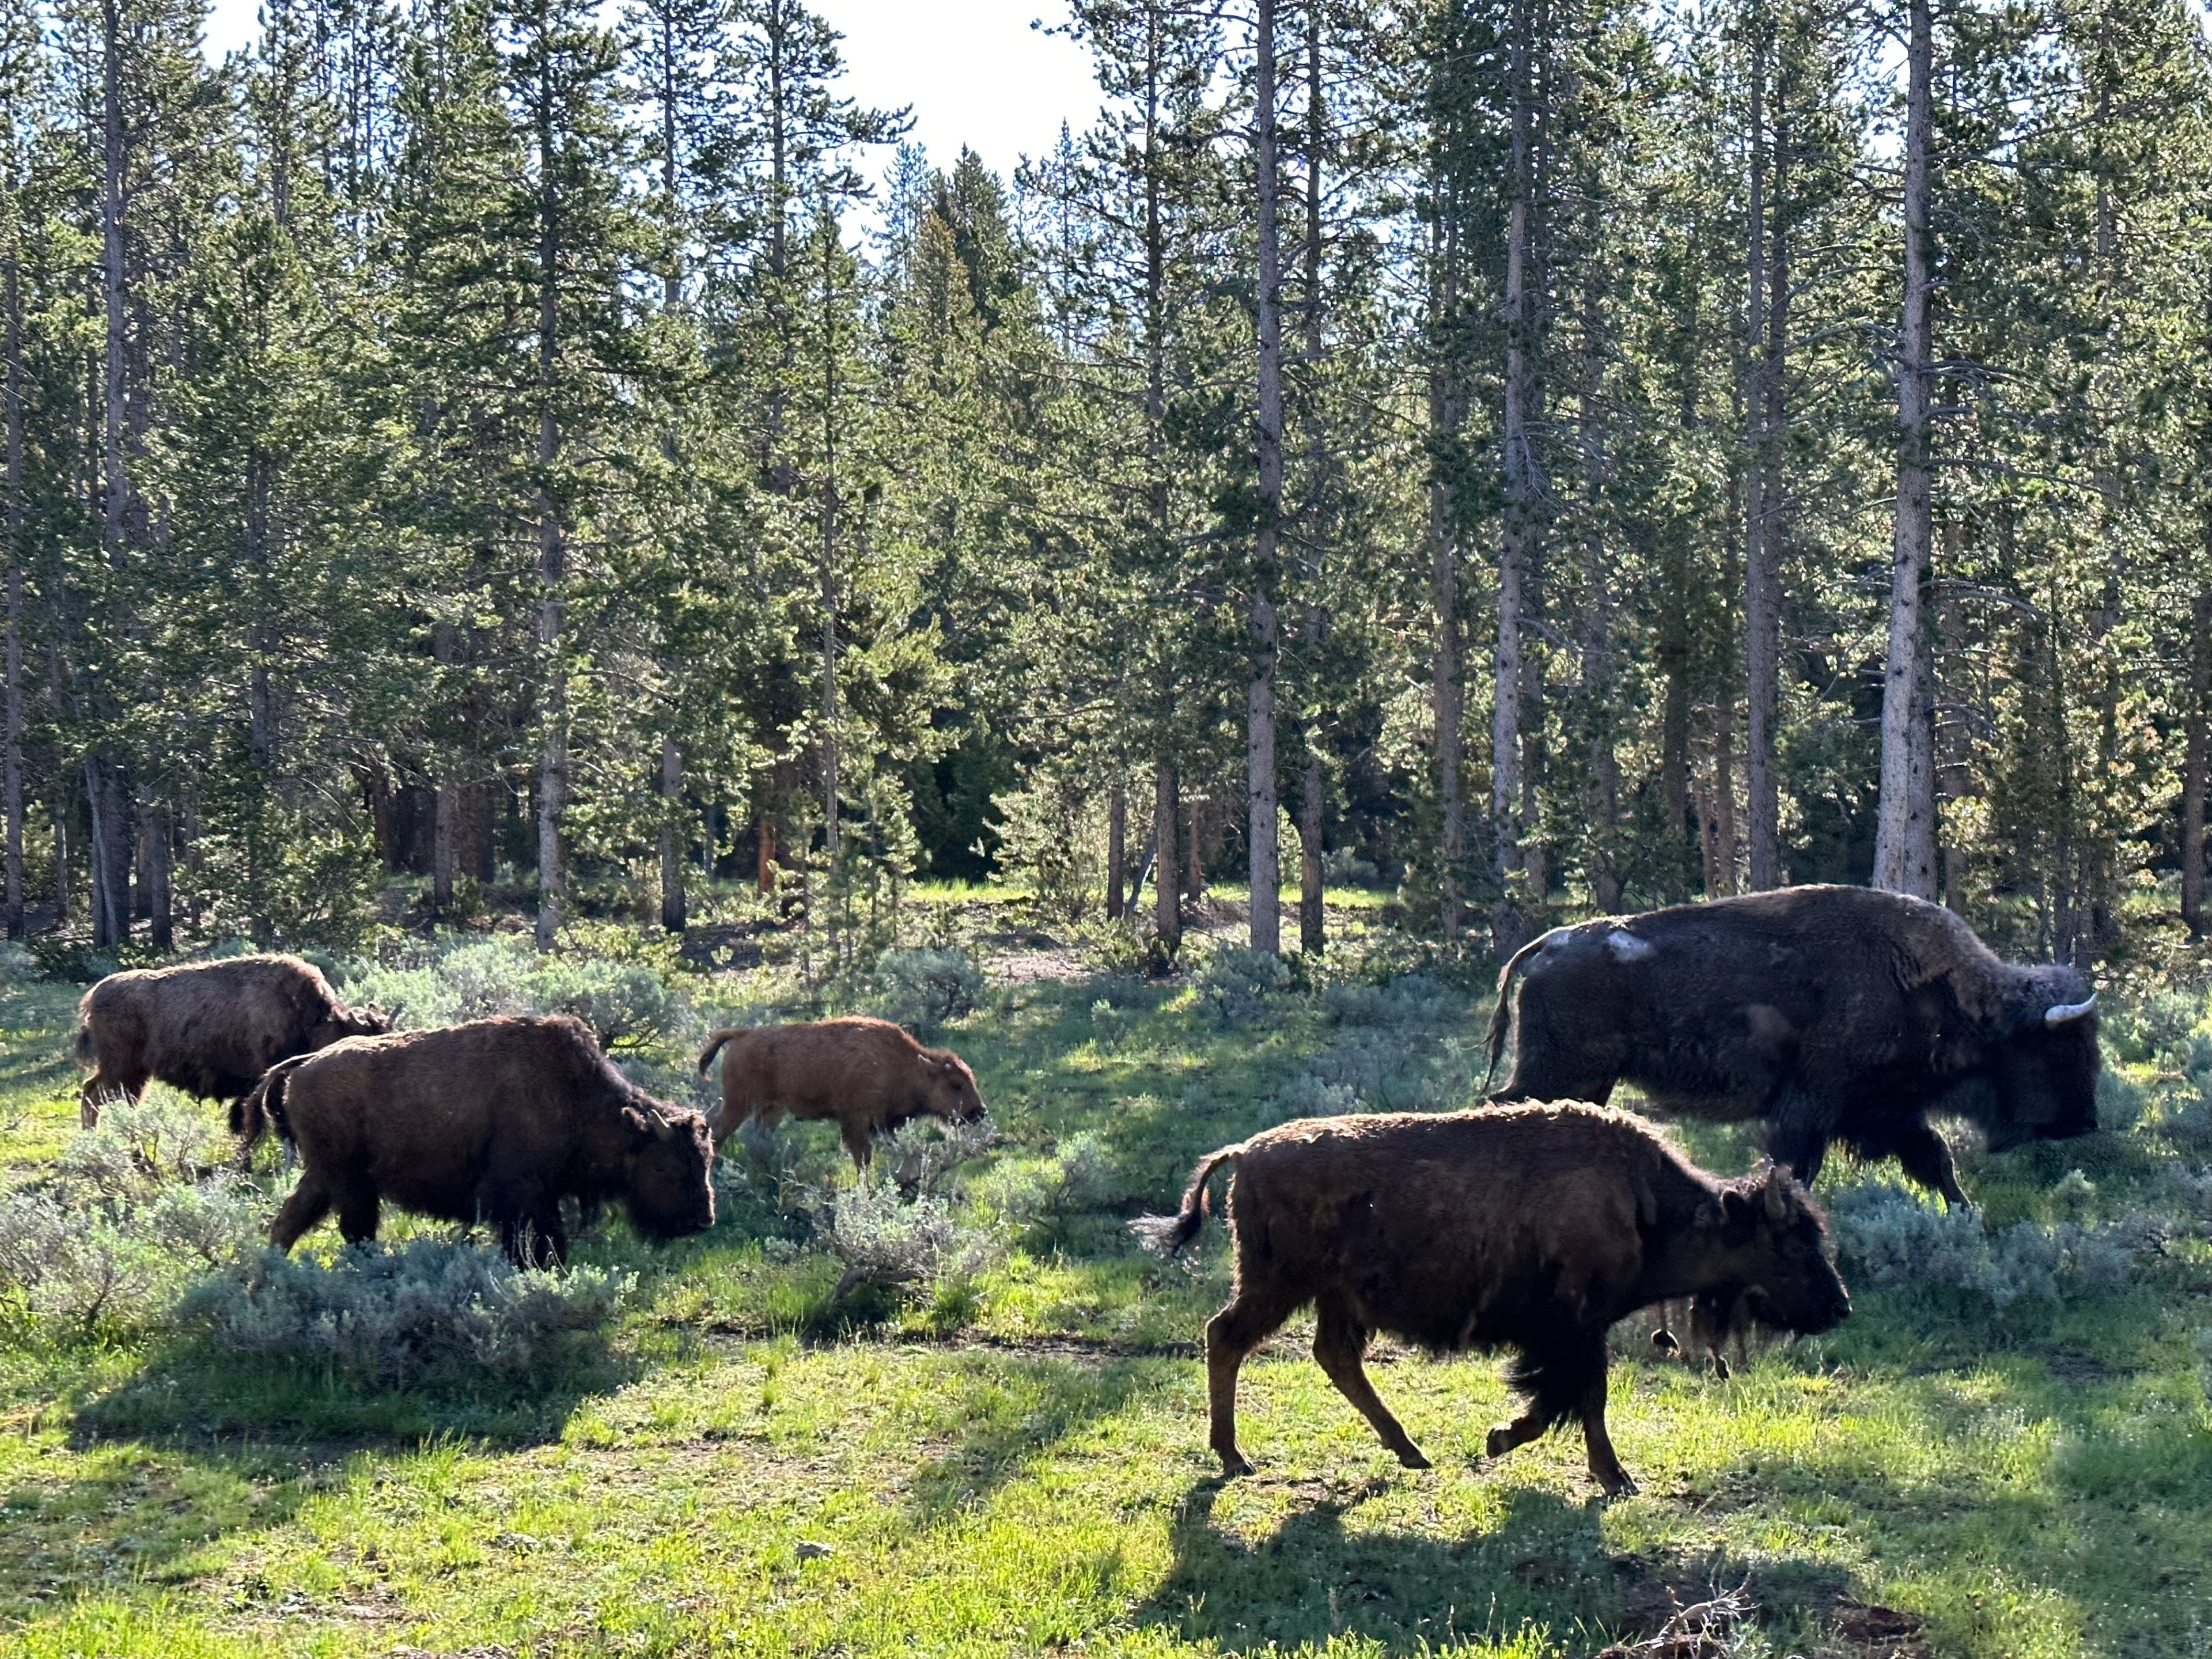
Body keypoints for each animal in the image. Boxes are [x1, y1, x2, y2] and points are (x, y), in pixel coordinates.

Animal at [73, 953, 394, 1130]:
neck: (312, 1016)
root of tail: (94, 995)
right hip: (122, 1071)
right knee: (94, 1096)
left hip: (130, 1075)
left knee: (95, 1094)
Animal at [237, 1014, 714, 1268]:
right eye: (663, 1166)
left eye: (706, 1161)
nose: (702, 1221)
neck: (575, 1097)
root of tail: (303, 1065)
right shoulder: (523, 1196)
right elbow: (542, 1243)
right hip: (348, 1182)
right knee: (352, 1231)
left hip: (325, 1177)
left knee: (291, 1222)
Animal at [695, 1017, 987, 1171]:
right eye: (955, 1084)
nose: (980, 1113)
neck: (904, 1065)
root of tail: (742, 1036)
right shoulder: (856, 1119)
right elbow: (863, 1158)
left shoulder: (883, 1124)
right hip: (738, 1105)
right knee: (717, 1132)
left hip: (771, 1110)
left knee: (758, 1139)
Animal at [1133, 1103, 1849, 1495]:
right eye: (1790, 1246)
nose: (1840, 1307)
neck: (1639, 1198)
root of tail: (1246, 1151)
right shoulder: (1574, 1327)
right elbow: (1580, 1397)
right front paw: (1538, 1451)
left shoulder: (1578, 1331)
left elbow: (1579, 1398)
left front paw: (1589, 1467)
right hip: (1278, 1284)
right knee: (1227, 1338)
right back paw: (1235, 1456)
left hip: (1332, 1295)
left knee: (1332, 1356)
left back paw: (1409, 1451)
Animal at [1484, 885, 2101, 1209]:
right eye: (2057, 1051)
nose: (2085, 1124)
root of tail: (1546, 946)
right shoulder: (1813, 1102)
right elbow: (1797, 1167)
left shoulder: (1885, 1108)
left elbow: (1935, 1159)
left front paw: (1966, 1216)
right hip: (1560, 1072)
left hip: (1588, 1080)